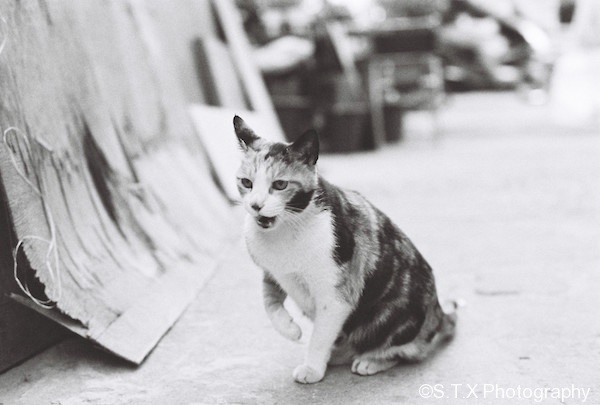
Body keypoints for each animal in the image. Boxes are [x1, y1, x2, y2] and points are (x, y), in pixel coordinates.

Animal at [233, 115, 458, 384]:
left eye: (279, 185)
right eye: (246, 182)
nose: (256, 206)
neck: (287, 228)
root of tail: (439, 312)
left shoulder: (336, 297)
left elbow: (320, 336)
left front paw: (312, 367)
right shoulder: (273, 272)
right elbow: (269, 302)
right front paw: (290, 329)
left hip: (390, 320)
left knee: (405, 351)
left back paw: (371, 360)